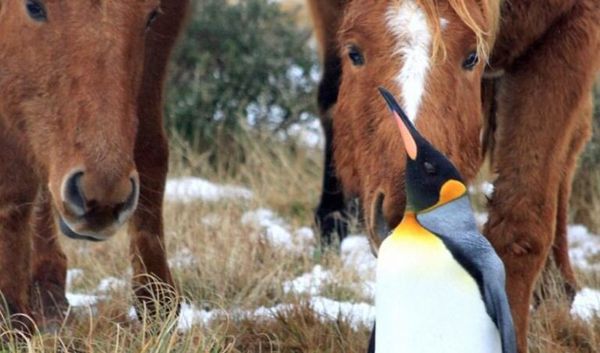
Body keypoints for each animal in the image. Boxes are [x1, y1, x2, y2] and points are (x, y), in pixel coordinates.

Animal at [0, 0, 188, 330]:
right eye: (33, 6)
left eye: (151, 17)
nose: (102, 196)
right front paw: (12, 316)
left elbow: (148, 145)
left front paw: (157, 301)